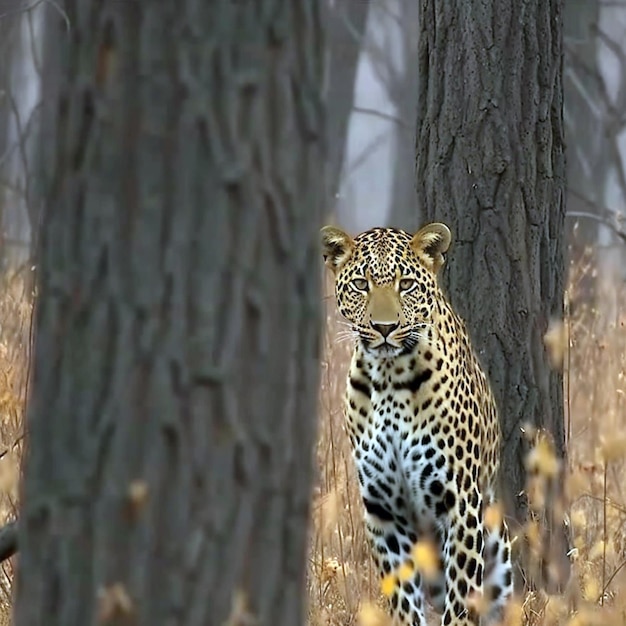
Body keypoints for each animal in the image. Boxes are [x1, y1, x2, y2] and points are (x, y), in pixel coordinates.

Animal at [322, 222, 512, 620]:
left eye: (406, 284)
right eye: (360, 284)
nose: (383, 327)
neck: (389, 378)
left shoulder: (459, 503)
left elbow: (462, 599)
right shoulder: (384, 512)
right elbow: (403, 600)